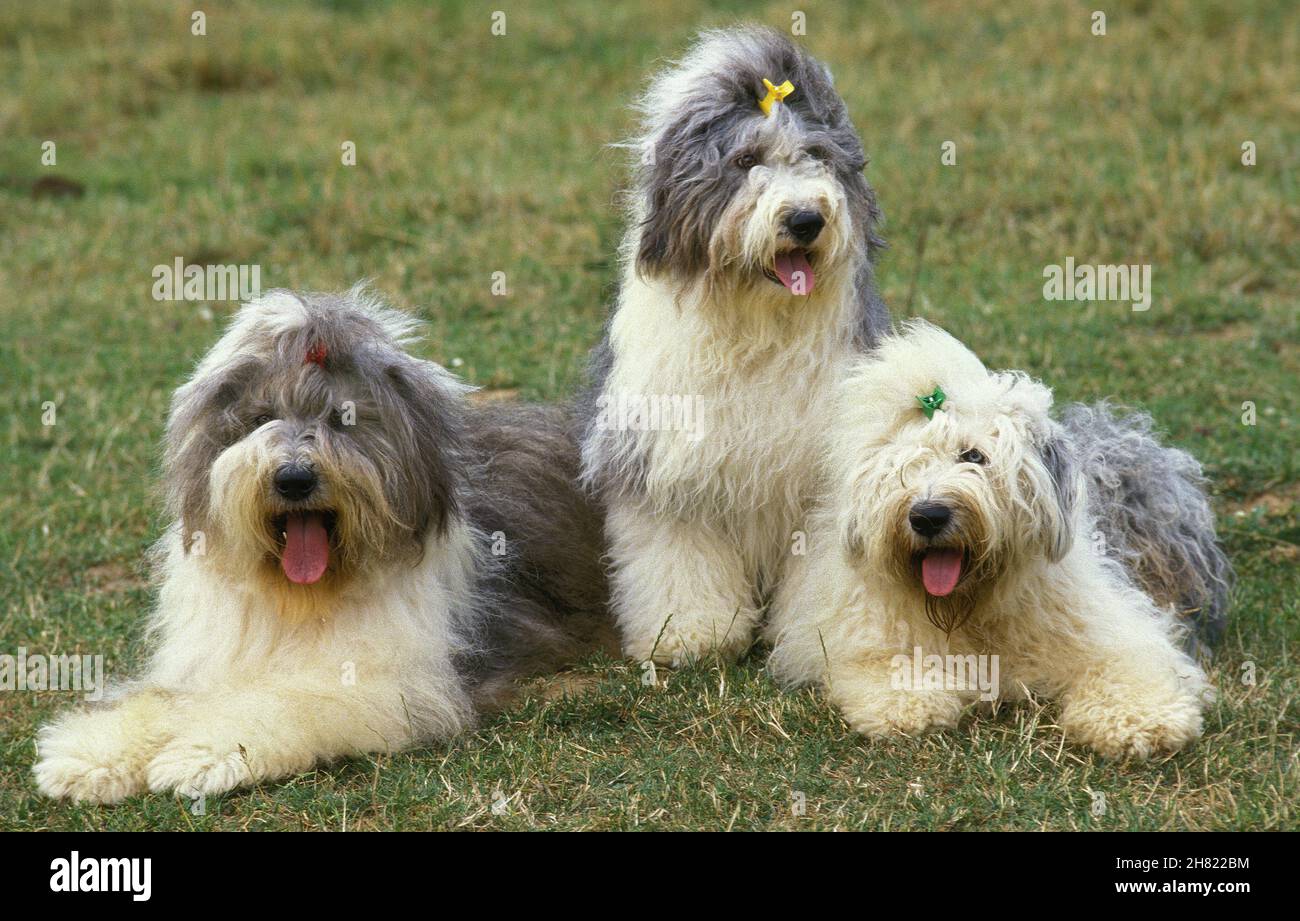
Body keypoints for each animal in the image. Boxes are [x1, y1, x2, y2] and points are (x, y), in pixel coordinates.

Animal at [35, 287, 613, 796]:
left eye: (343, 419)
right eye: (261, 418)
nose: (294, 478)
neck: (302, 598)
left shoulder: (402, 682)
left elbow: (288, 702)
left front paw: (202, 754)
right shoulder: (209, 660)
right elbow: (162, 699)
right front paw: (92, 754)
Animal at [579, 25, 1227, 666]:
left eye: (817, 157)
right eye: (745, 160)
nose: (806, 219)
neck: (759, 326)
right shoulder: (660, 464)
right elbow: (677, 553)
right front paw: (691, 634)